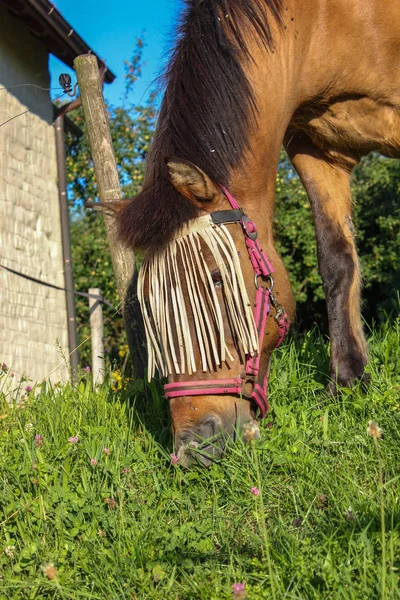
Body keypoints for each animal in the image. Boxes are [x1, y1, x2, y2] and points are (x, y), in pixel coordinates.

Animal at [110, 0, 400, 466]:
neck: (325, 23)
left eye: (216, 279)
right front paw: (347, 382)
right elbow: (336, 261)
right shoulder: (315, 150)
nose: (192, 446)